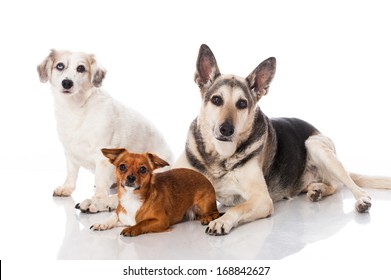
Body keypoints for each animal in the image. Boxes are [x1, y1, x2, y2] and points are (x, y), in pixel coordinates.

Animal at [38, 49, 173, 212]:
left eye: (81, 68)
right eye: (60, 66)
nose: (67, 83)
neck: (76, 108)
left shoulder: (102, 157)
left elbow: (101, 183)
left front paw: (98, 201)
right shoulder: (69, 152)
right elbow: (71, 173)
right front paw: (67, 188)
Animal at [90, 149, 222, 236]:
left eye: (143, 169)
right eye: (122, 166)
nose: (130, 178)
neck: (132, 198)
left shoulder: (161, 221)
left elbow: (142, 223)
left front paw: (131, 229)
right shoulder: (121, 215)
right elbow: (113, 216)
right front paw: (102, 223)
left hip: (204, 205)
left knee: (215, 213)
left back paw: (207, 218)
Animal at [174, 44, 391, 236]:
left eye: (242, 104)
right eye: (217, 100)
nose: (226, 129)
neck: (219, 156)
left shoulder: (262, 200)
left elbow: (237, 208)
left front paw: (222, 221)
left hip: (315, 144)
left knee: (348, 184)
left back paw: (360, 199)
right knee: (334, 185)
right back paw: (317, 190)